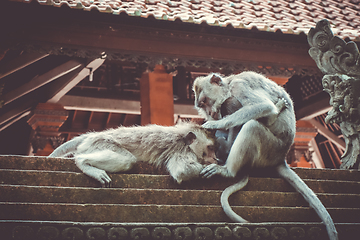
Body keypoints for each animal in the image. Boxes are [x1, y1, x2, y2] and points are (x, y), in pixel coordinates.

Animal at [47, 123, 217, 187]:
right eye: (210, 147)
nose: (216, 157)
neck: (183, 137)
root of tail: (96, 134)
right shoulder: (181, 150)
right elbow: (184, 170)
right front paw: (212, 168)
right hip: (101, 142)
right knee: (128, 160)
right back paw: (83, 163)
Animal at [194, 71, 338, 240]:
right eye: (202, 105)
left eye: (205, 100)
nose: (210, 113)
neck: (229, 85)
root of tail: (282, 157)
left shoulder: (239, 86)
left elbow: (263, 106)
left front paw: (214, 124)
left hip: (270, 148)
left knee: (252, 126)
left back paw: (228, 170)